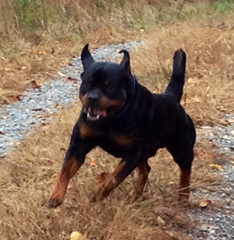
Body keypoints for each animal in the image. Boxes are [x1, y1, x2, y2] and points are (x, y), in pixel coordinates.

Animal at [47, 44, 196, 208]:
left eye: (109, 86)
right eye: (87, 83)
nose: (92, 98)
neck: (110, 120)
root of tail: (171, 98)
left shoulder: (133, 153)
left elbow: (114, 177)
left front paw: (97, 193)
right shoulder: (78, 146)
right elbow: (64, 171)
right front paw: (55, 196)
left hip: (181, 148)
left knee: (185, 170)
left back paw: (183, 196)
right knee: (145, 170)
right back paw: (133, 197)